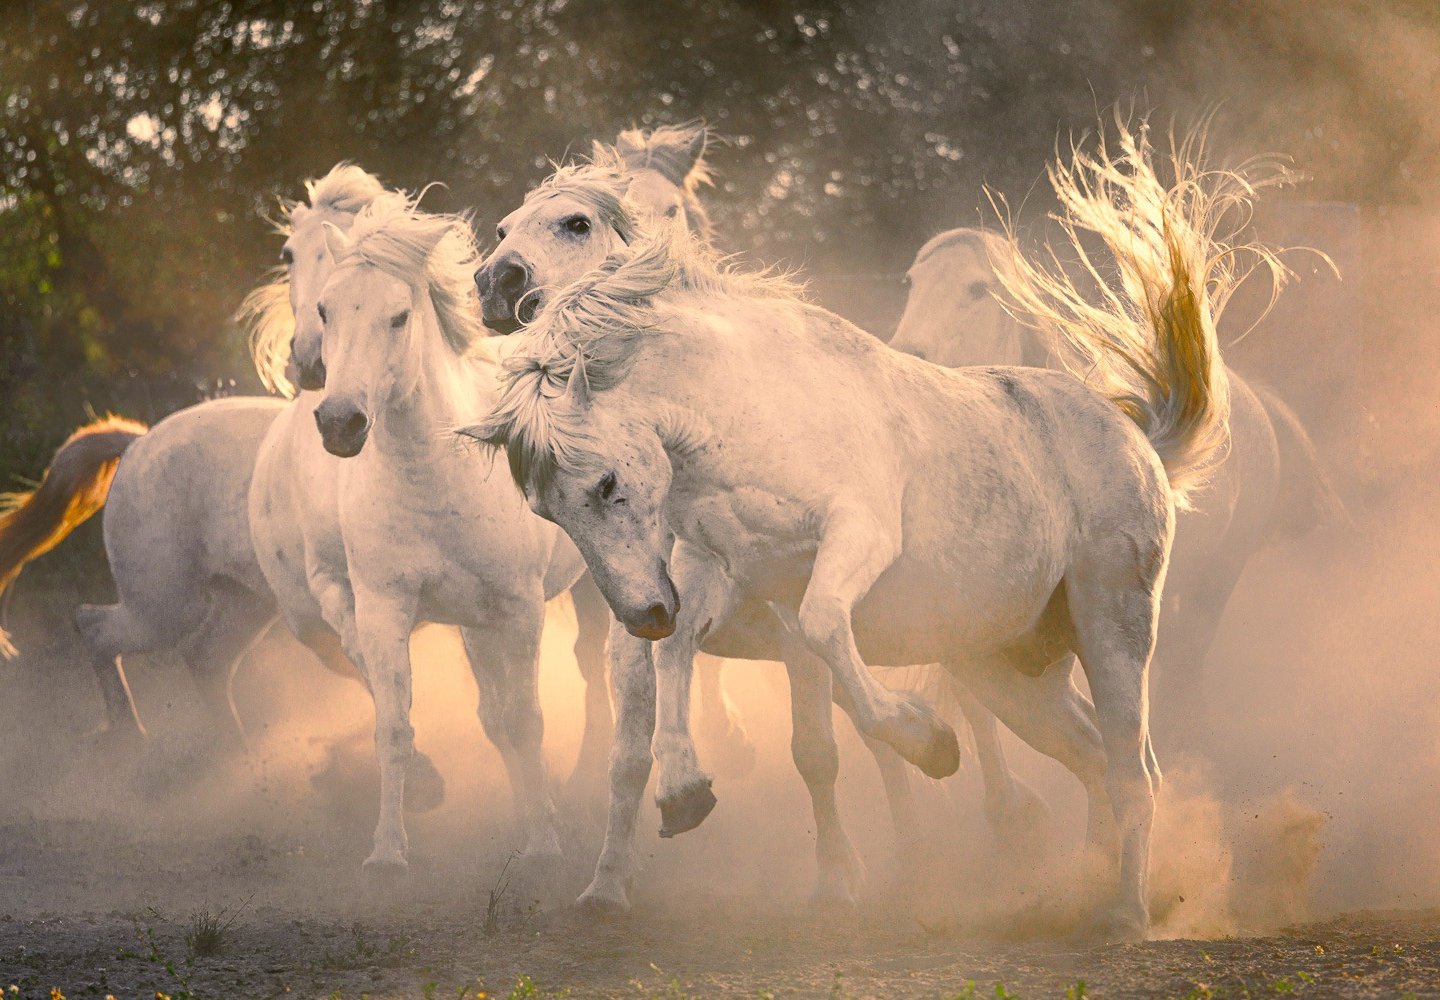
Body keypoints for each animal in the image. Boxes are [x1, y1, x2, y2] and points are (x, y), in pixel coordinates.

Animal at [0, 165, 389, 757]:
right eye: (289, 253)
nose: (310, 359)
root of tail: (137, 445)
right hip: (165, 604)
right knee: (95, 627)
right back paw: (131, 741)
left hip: (240, 602)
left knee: (205, 659)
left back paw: (243, 762)